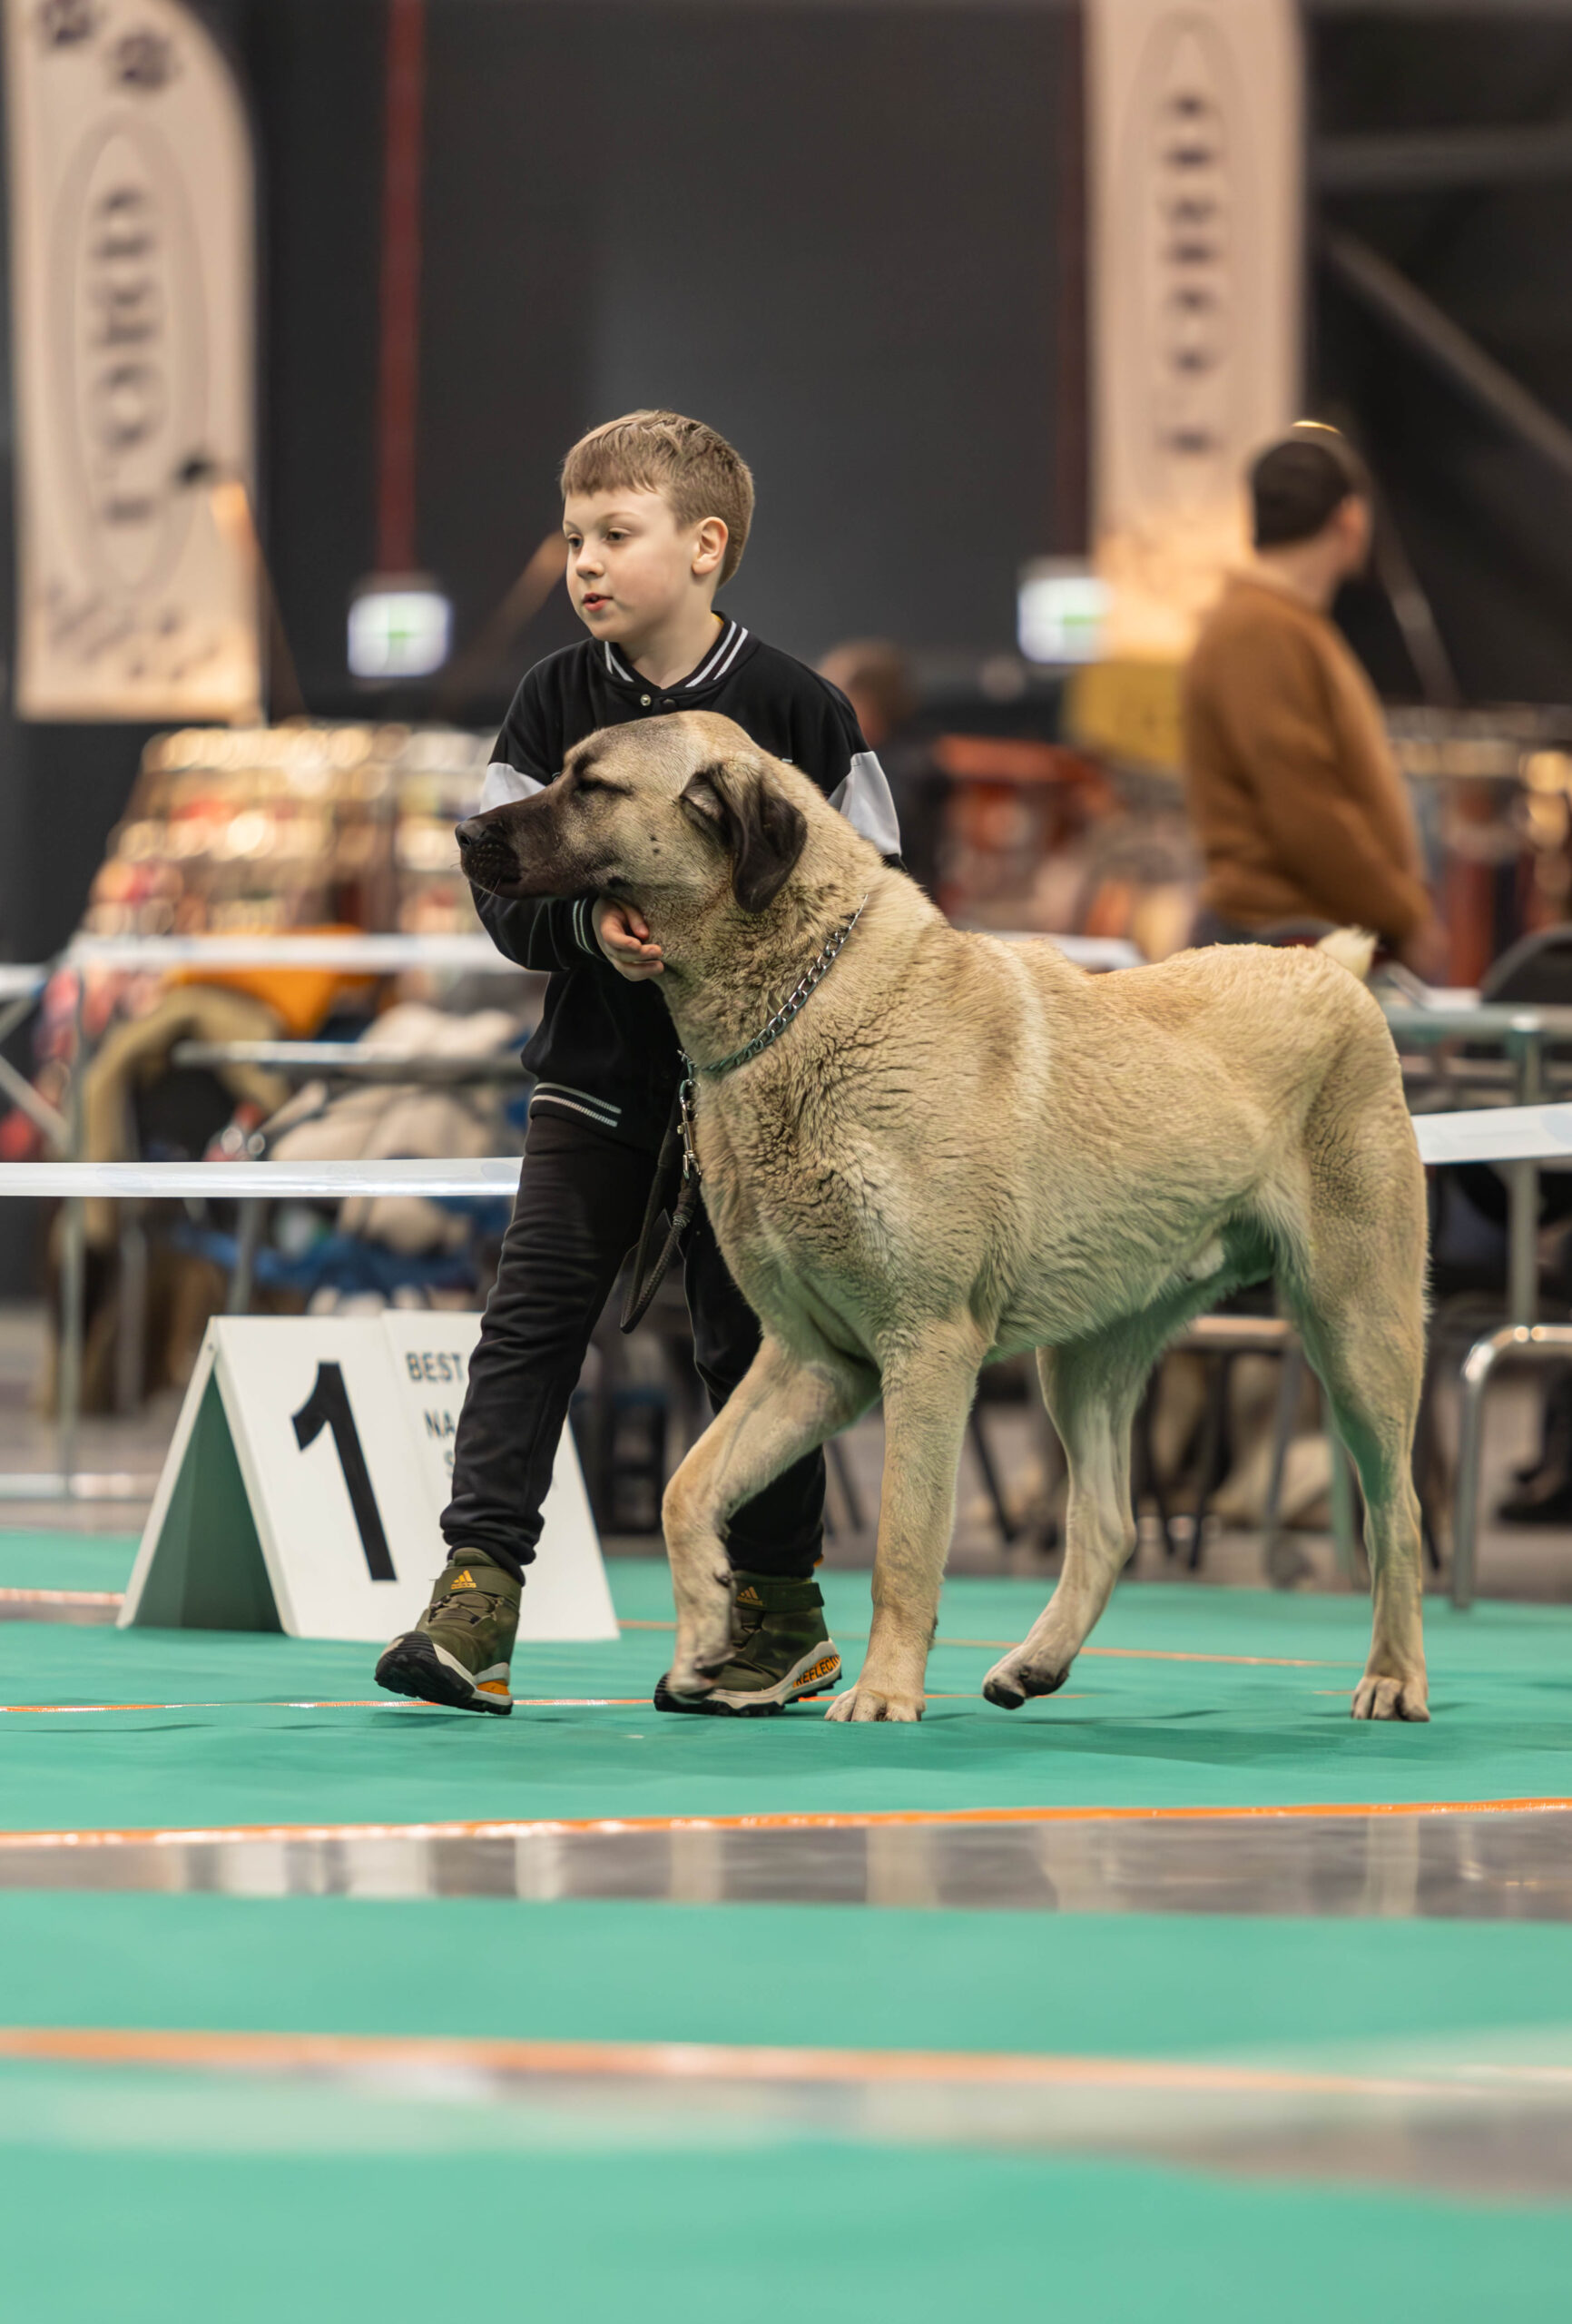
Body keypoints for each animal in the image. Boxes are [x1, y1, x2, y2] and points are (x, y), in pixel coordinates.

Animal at [459, 711, 1429, 1724]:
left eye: (591, 786)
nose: (463, 832)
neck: (799, 991)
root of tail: (1327, 971)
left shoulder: (925, 1350)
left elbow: (903, 1539)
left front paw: (885, 1690)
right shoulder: (812, 1359)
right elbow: (686, 1491)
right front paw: (702, 1642)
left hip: (1357, 1331)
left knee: (1396, 1512)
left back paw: (1394, 1676)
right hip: (1085, 1359)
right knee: (1109, 1522)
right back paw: (1035, 1663)